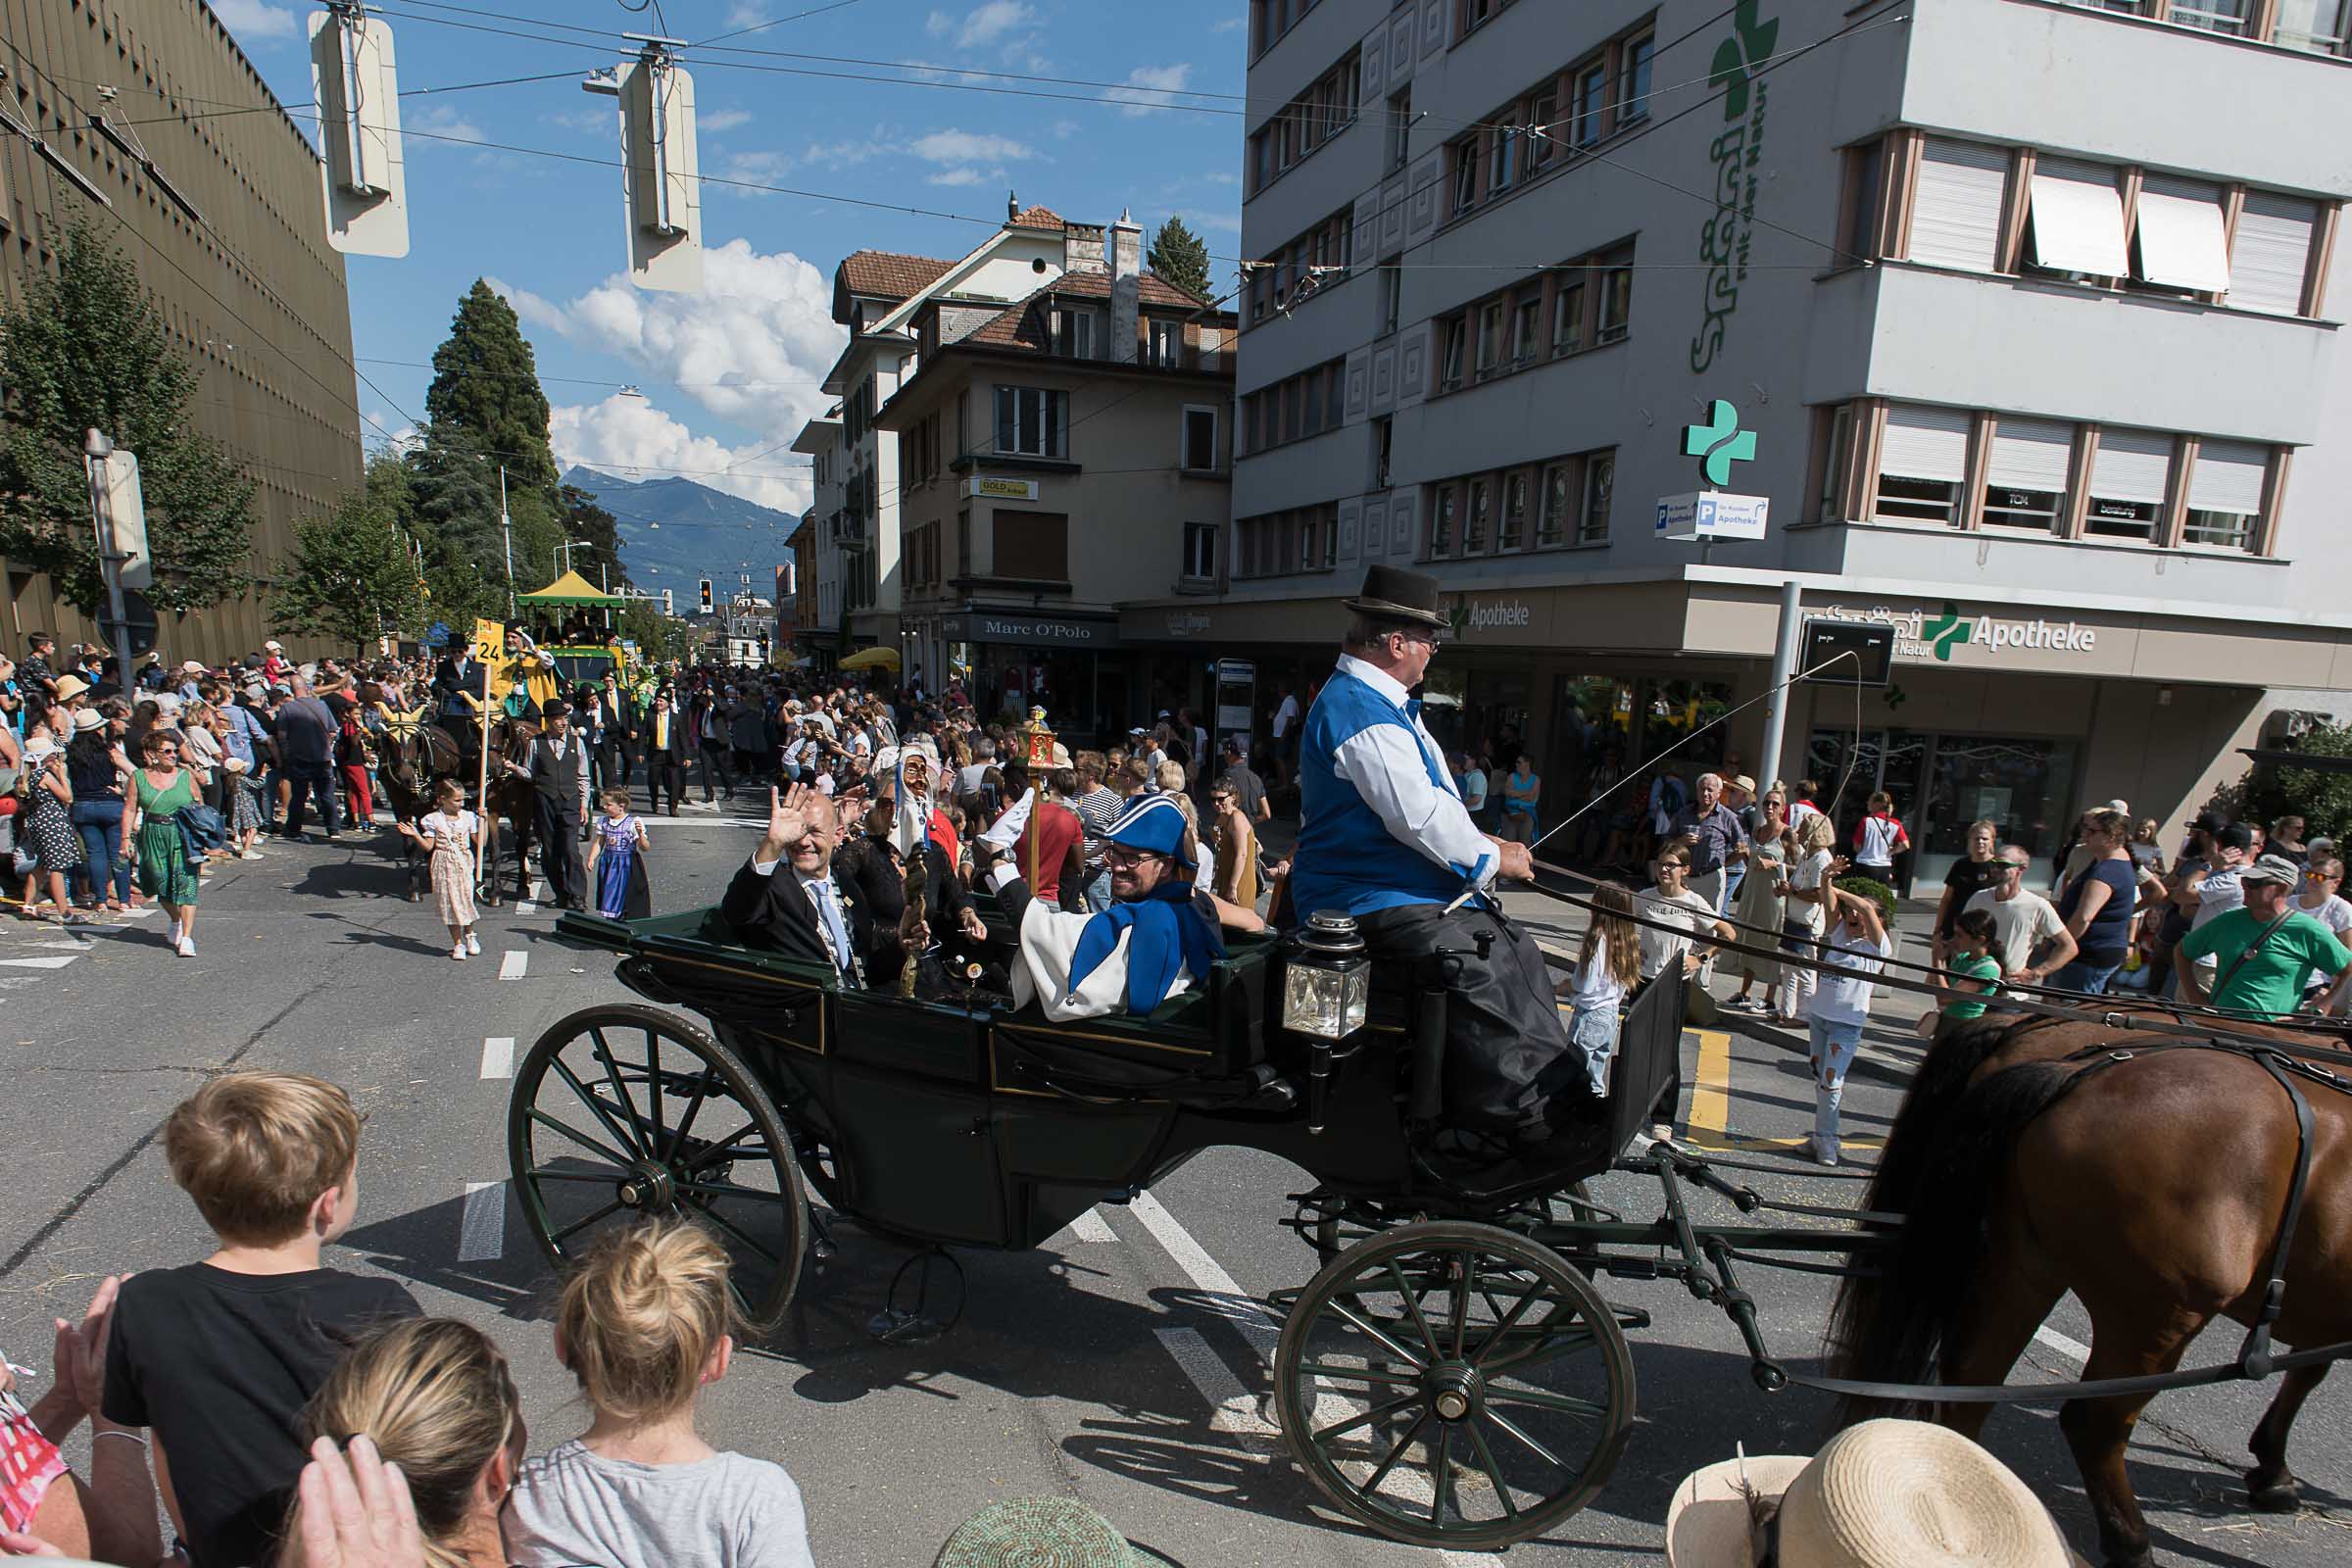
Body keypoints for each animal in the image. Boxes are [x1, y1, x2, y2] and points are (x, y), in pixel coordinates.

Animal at [1825, 1010, 2342, 1560]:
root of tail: (2065, 1071)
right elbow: (2309, 1370)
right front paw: (2273, 1472)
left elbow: (2309, 1369)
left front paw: (2273, 1469)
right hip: (2157, 1315)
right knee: (2094, 1425)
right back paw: (2131, 1545)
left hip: (2027, 1266)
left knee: (1973, 1380)